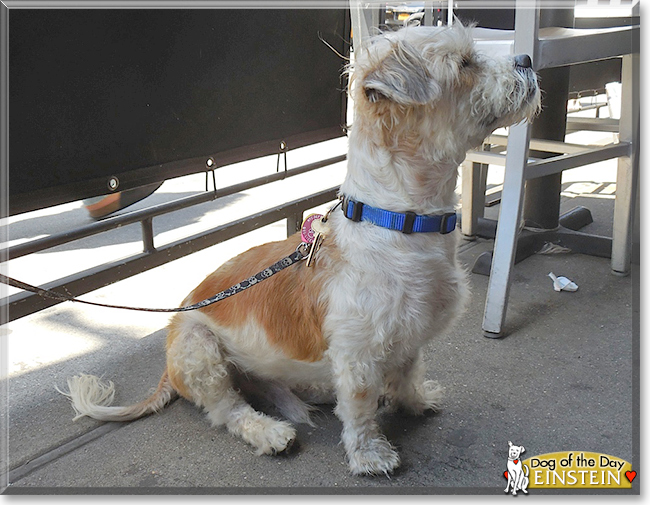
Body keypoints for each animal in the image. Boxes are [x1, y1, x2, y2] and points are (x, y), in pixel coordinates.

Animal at [60, 26, 540, 476]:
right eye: (464, 63)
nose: (528, 58)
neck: (399, 223)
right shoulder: (358, 353)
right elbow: (361, 408)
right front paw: (370, 454)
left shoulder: (407, 338)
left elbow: (407, 373)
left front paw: (415, 401)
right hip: (201, 352)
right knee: (227, 410)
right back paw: (268, 431)